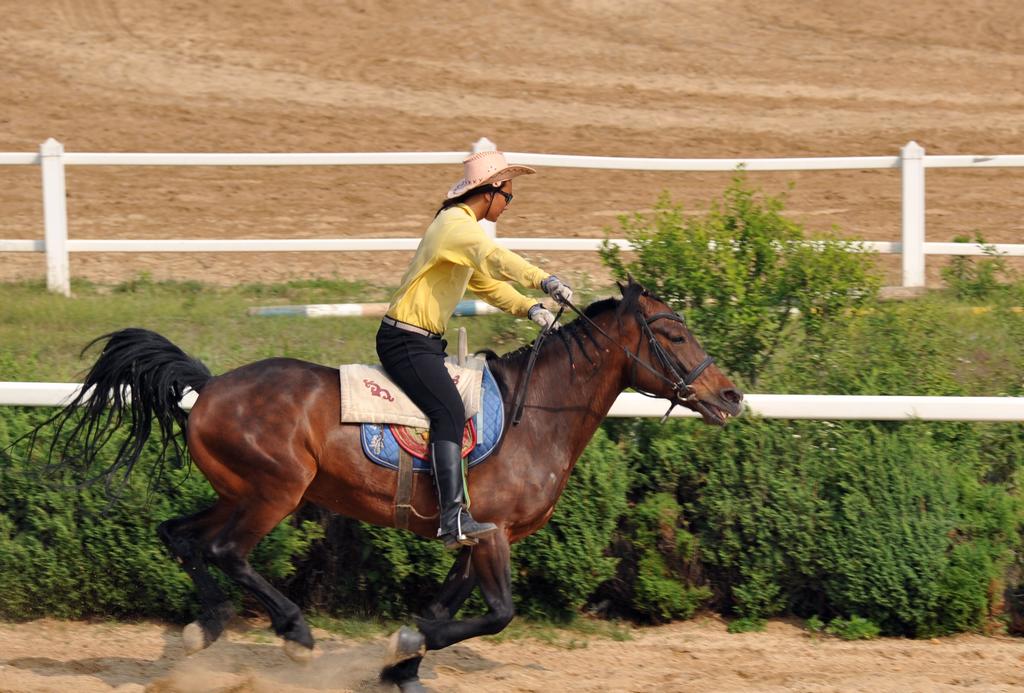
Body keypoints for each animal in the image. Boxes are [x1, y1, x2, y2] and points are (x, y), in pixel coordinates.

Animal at [24, 278, 745, 687]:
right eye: (674, 331)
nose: (731, 396)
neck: (539, 411)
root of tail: (210, 385)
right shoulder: (492, 536)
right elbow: (498, 614)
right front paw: (401, 651)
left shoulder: (476, 537)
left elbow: (444, 610)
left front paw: (403, 665)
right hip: (277, 491)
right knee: (227, 551)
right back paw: (295, 635)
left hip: (237, 490)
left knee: (180, 535)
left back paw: (205, 626)